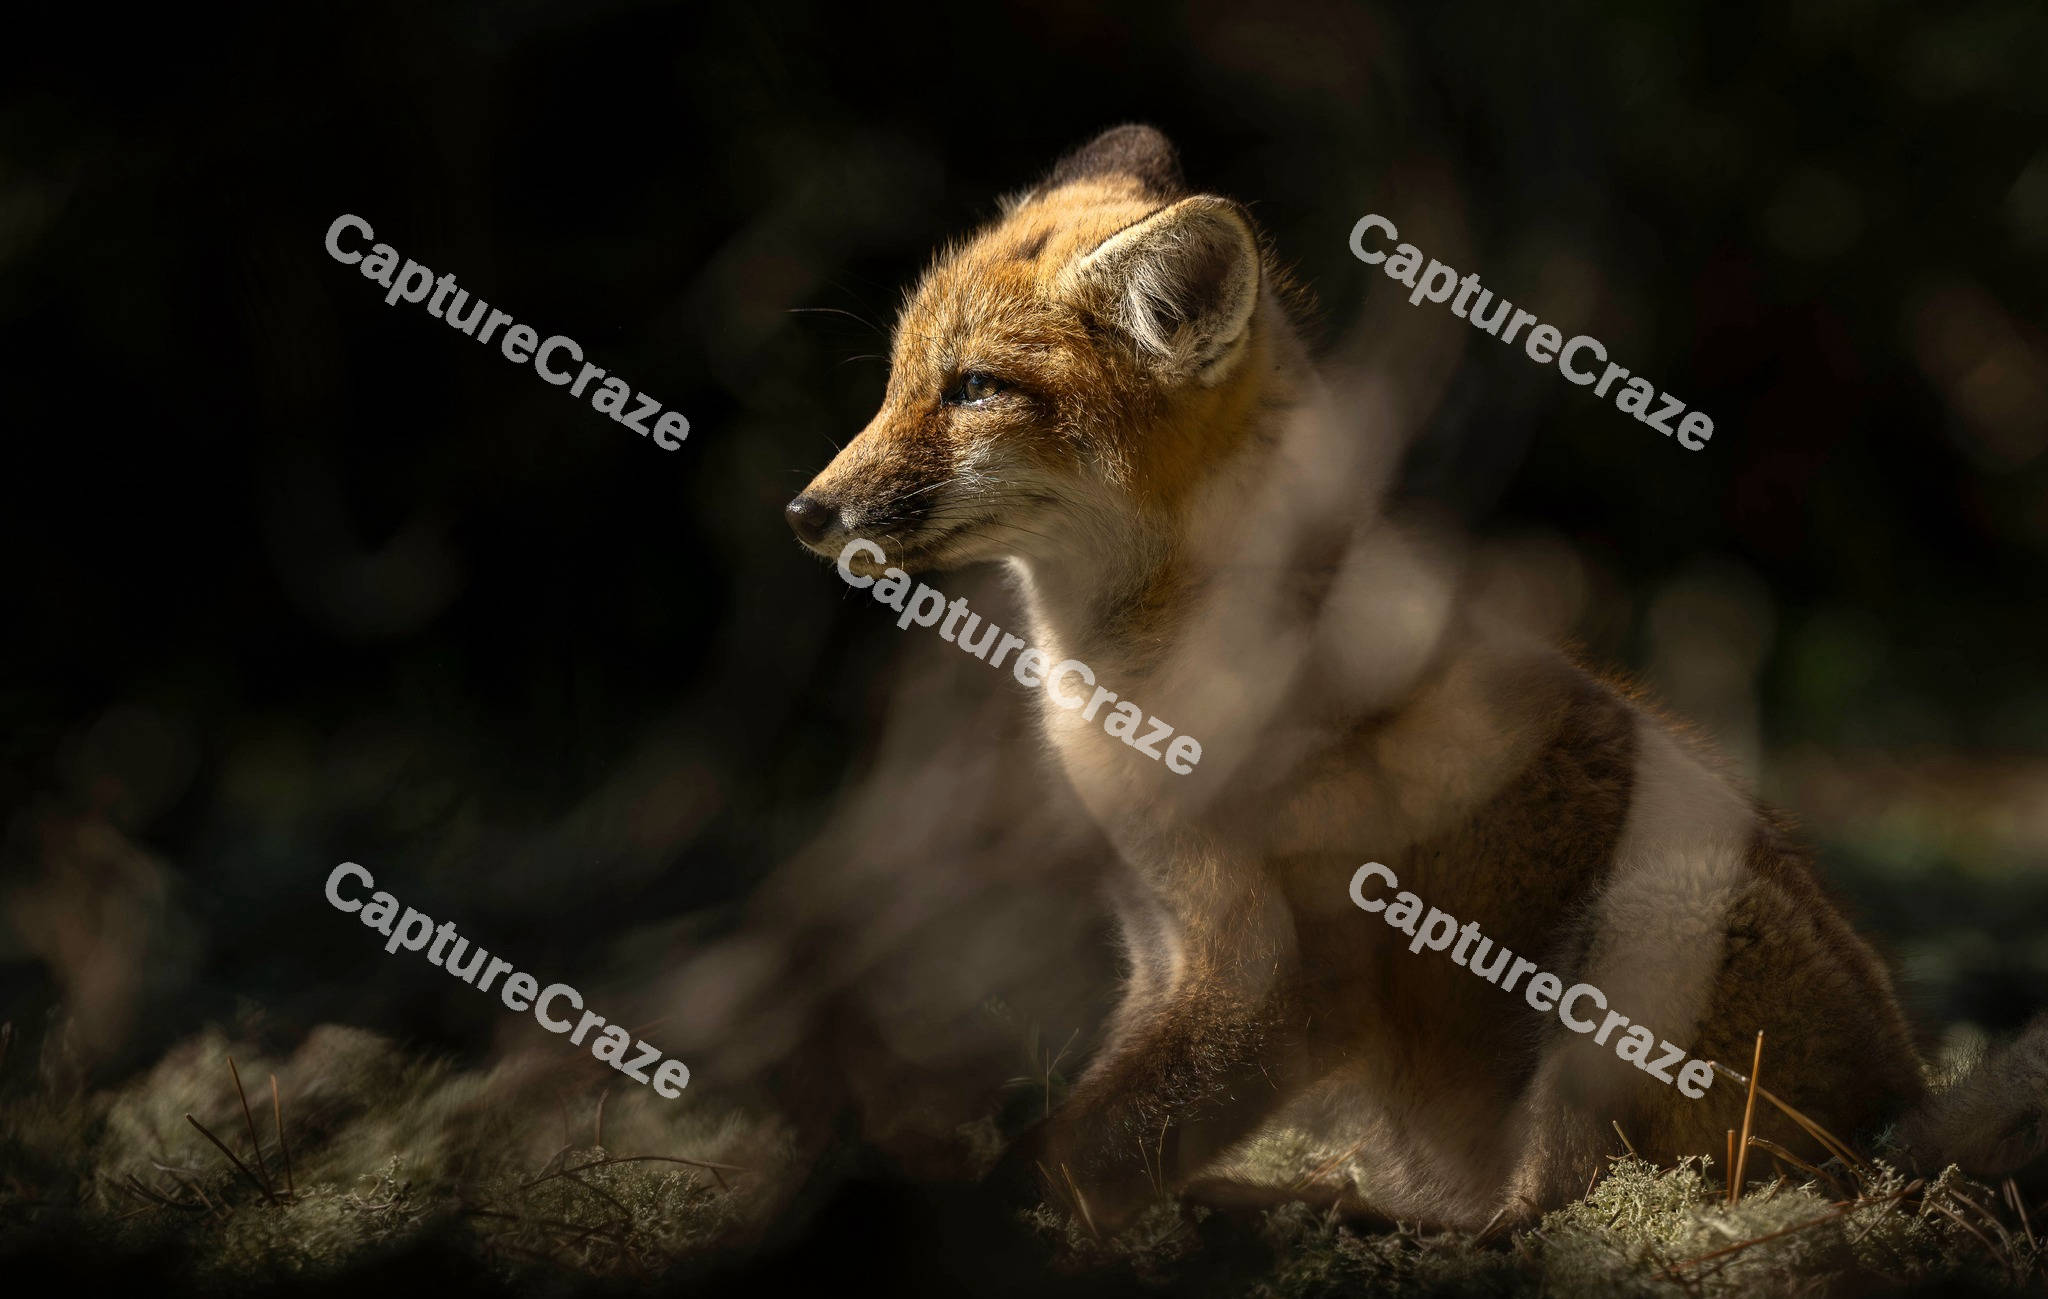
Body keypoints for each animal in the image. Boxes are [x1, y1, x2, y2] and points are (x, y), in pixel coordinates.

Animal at [785, 124, 2048, 1229]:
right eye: (895, 381)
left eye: (972, 389)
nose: (804, 511)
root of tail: (1897, 1119)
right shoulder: (1159, 946)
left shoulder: (1270, 986)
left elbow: (1073, 1152)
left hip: (1646, 928)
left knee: (1547, 1215)